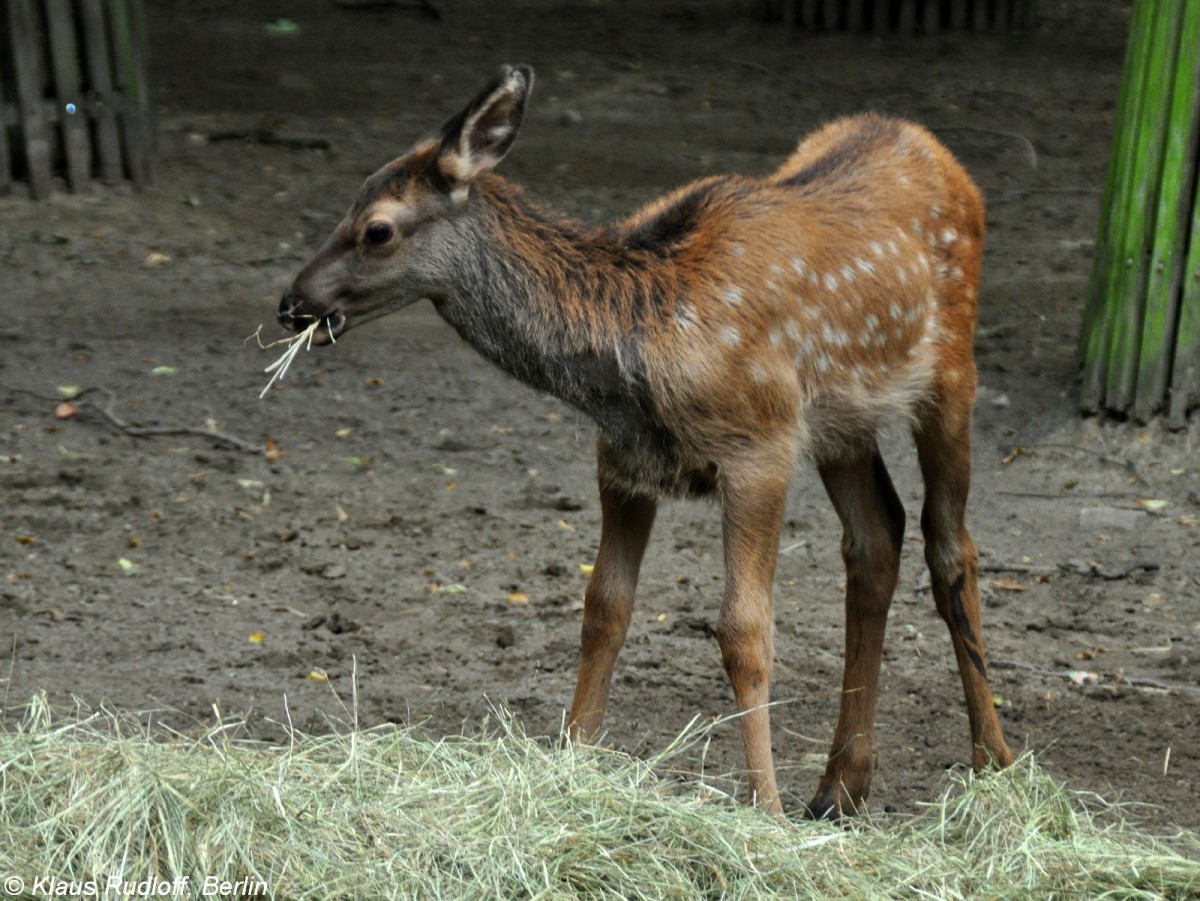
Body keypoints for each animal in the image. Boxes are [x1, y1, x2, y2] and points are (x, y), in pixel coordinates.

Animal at [278, 63, 1012, 815]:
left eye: (376, 229)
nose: (292, 303)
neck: (636, 351)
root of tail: (933, 149)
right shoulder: (623, 459)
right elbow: (604, 608)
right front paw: (572, 759)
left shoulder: (760, 444)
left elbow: (745, 630)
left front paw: (766, 808)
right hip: (843, 424)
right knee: (876, 537)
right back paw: (840, 785)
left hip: (952, 374)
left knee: (950, 545)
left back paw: (994, 763)